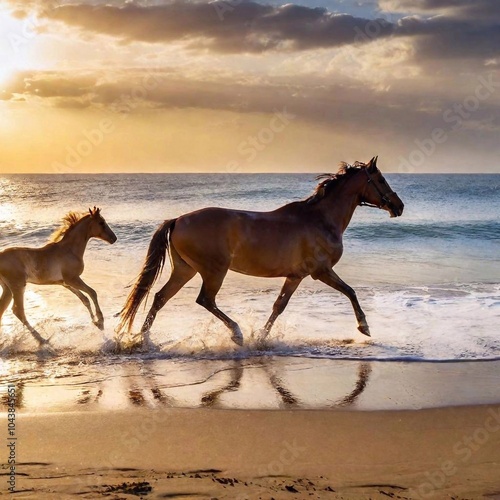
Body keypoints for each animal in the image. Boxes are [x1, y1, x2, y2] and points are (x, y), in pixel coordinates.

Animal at [0, 207, 116, 344]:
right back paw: (41, 339)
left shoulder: (65, 283)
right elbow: (92, 293)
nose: (114, 238)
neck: (69, 250)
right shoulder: (72, 279)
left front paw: (95, 322)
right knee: (18, 310)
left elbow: (84, 299)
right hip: (18, 286)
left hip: (7, 289)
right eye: (101, 223)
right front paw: (100, 321)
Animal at [119, 158, 404, 346]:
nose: (399, 206)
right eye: (381, 179)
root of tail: (178, 219)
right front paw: (364, 327)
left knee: (160, 298)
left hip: (185, 270)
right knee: (205, 300)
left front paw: (262, 337)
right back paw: (236, 333)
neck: (320, 219)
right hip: (214, 271)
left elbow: (279, 306)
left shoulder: (295, 276)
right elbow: (350, 291)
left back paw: (143, 338)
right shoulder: (320, 271)